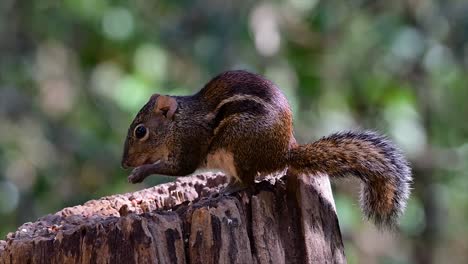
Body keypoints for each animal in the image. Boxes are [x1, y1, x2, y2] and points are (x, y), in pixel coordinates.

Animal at [120, 70, 410, 229]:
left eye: (140, 131)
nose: (124, 163)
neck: (178, 123)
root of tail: (284, 153)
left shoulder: (188, 145)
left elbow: (178, 167)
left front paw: (139, 173)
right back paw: (218, 190)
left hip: (239, 147)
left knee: (249, 181)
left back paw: (225, 191)